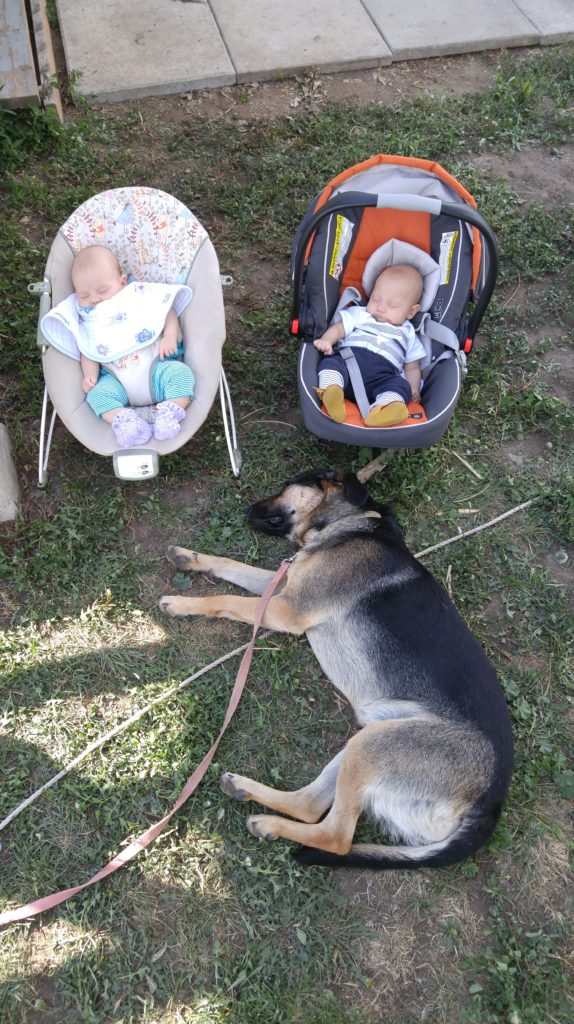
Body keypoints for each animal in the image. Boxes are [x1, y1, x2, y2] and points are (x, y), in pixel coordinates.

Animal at [158, 471, 511, 872]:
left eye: (285, 486)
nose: (247, 507)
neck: (347, 524)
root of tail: (490, 804)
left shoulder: (286, 608)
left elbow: (225, 599)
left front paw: (180, 603)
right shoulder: (281, 585)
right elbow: (232, 565)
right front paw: (189, 557)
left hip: (373, 747)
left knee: (337, 837)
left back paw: (271, 824)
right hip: (370, 739)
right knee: (310, 807)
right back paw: (248, 793)